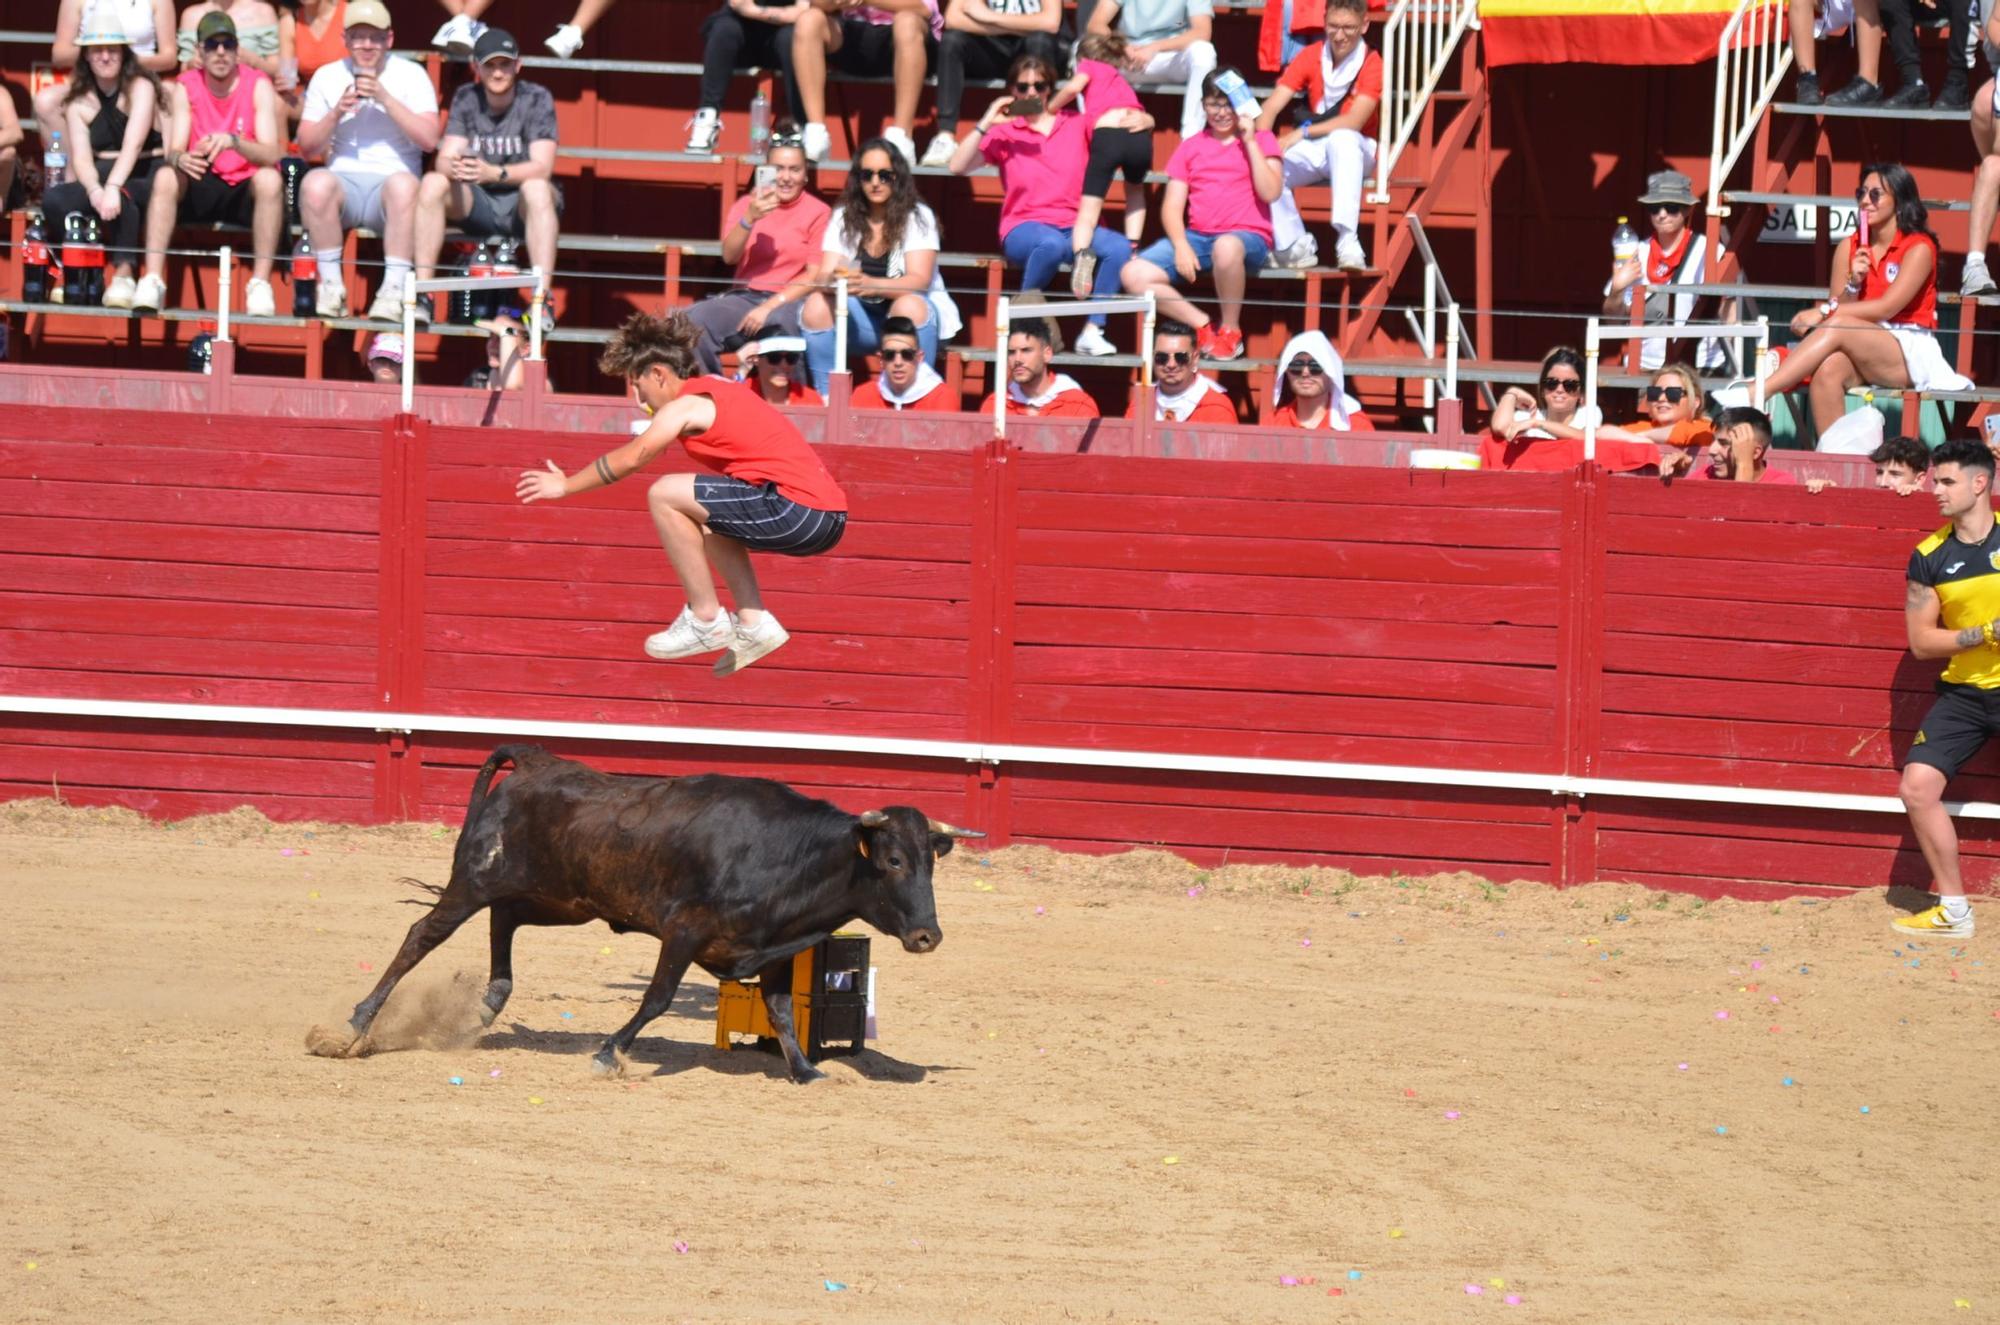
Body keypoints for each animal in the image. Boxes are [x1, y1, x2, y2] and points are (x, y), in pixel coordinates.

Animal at [306, 748, 984, 1080]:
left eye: (931, 862)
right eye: (892, 860)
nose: (927, 936)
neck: (787, 855)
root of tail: (535, 763)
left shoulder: (775, 948)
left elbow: (782, 1011)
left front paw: (806, 1072)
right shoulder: (682, 933)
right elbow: (657, 998)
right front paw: (609, 1053)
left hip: (558, 901)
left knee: (505, 921)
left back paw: (487, 1005)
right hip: (472, 880)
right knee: (423, 934)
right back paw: (356, 1025)